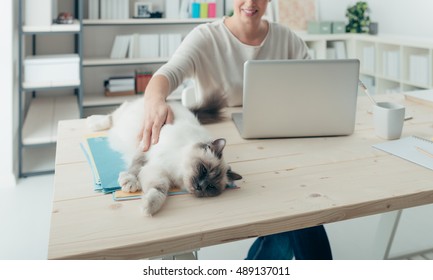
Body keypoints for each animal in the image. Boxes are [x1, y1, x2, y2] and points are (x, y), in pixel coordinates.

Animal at [86, 96, 241, 217]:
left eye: (210, 187)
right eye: (203, 169)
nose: (200, 186)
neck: (177, 170)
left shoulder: (157, 172)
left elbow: (158, 191)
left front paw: (148, 207)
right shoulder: (146, 150)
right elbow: (134, 168)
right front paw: (130, 183)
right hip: (129, 117)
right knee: (110, 117)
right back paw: (92, 122)